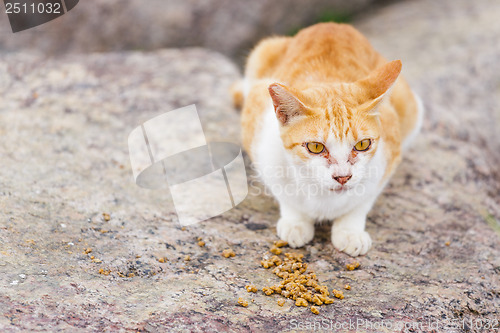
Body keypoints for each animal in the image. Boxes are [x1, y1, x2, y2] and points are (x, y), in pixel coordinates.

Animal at [234, 22, 422, 256]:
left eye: (362, 144)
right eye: (315, 147)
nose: (343, 177)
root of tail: (332, 24)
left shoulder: (389, 158)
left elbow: (363, 201)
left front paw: (350, 230)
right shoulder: (259, 141)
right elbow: (285, 196)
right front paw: (296, 222)